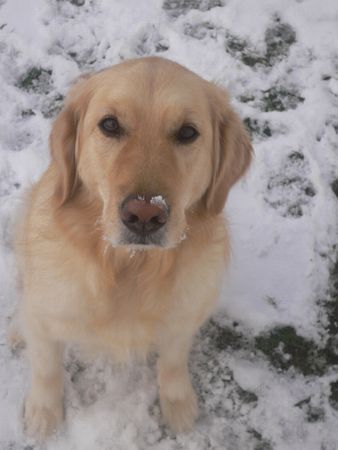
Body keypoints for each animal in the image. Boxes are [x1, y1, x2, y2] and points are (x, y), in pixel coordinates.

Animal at [12, 56, 251, 440]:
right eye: (109, 125)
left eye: (187, 132)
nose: (144, 214)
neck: (129, 267)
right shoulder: (46, 317)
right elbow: (46, 367)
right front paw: (43, 413)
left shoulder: (183, 319)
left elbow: (173, 361)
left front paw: (178, 403)